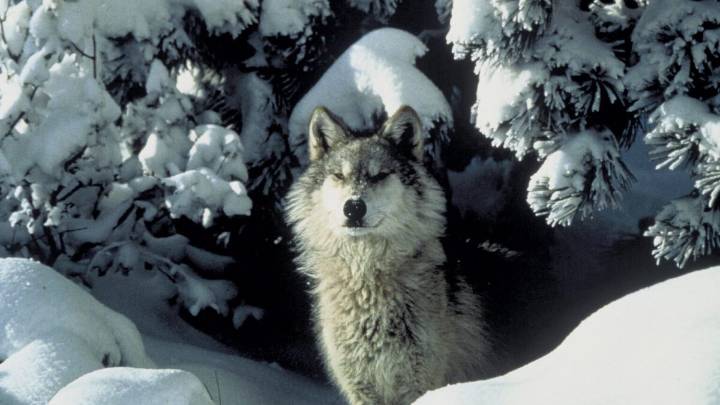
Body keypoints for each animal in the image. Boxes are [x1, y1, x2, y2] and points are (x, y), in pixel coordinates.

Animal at [285, 105, 490, 405]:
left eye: (379, 175)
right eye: (339, 176)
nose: (354, 207)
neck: (367, 281)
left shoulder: (419, 384)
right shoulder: (360, 389)